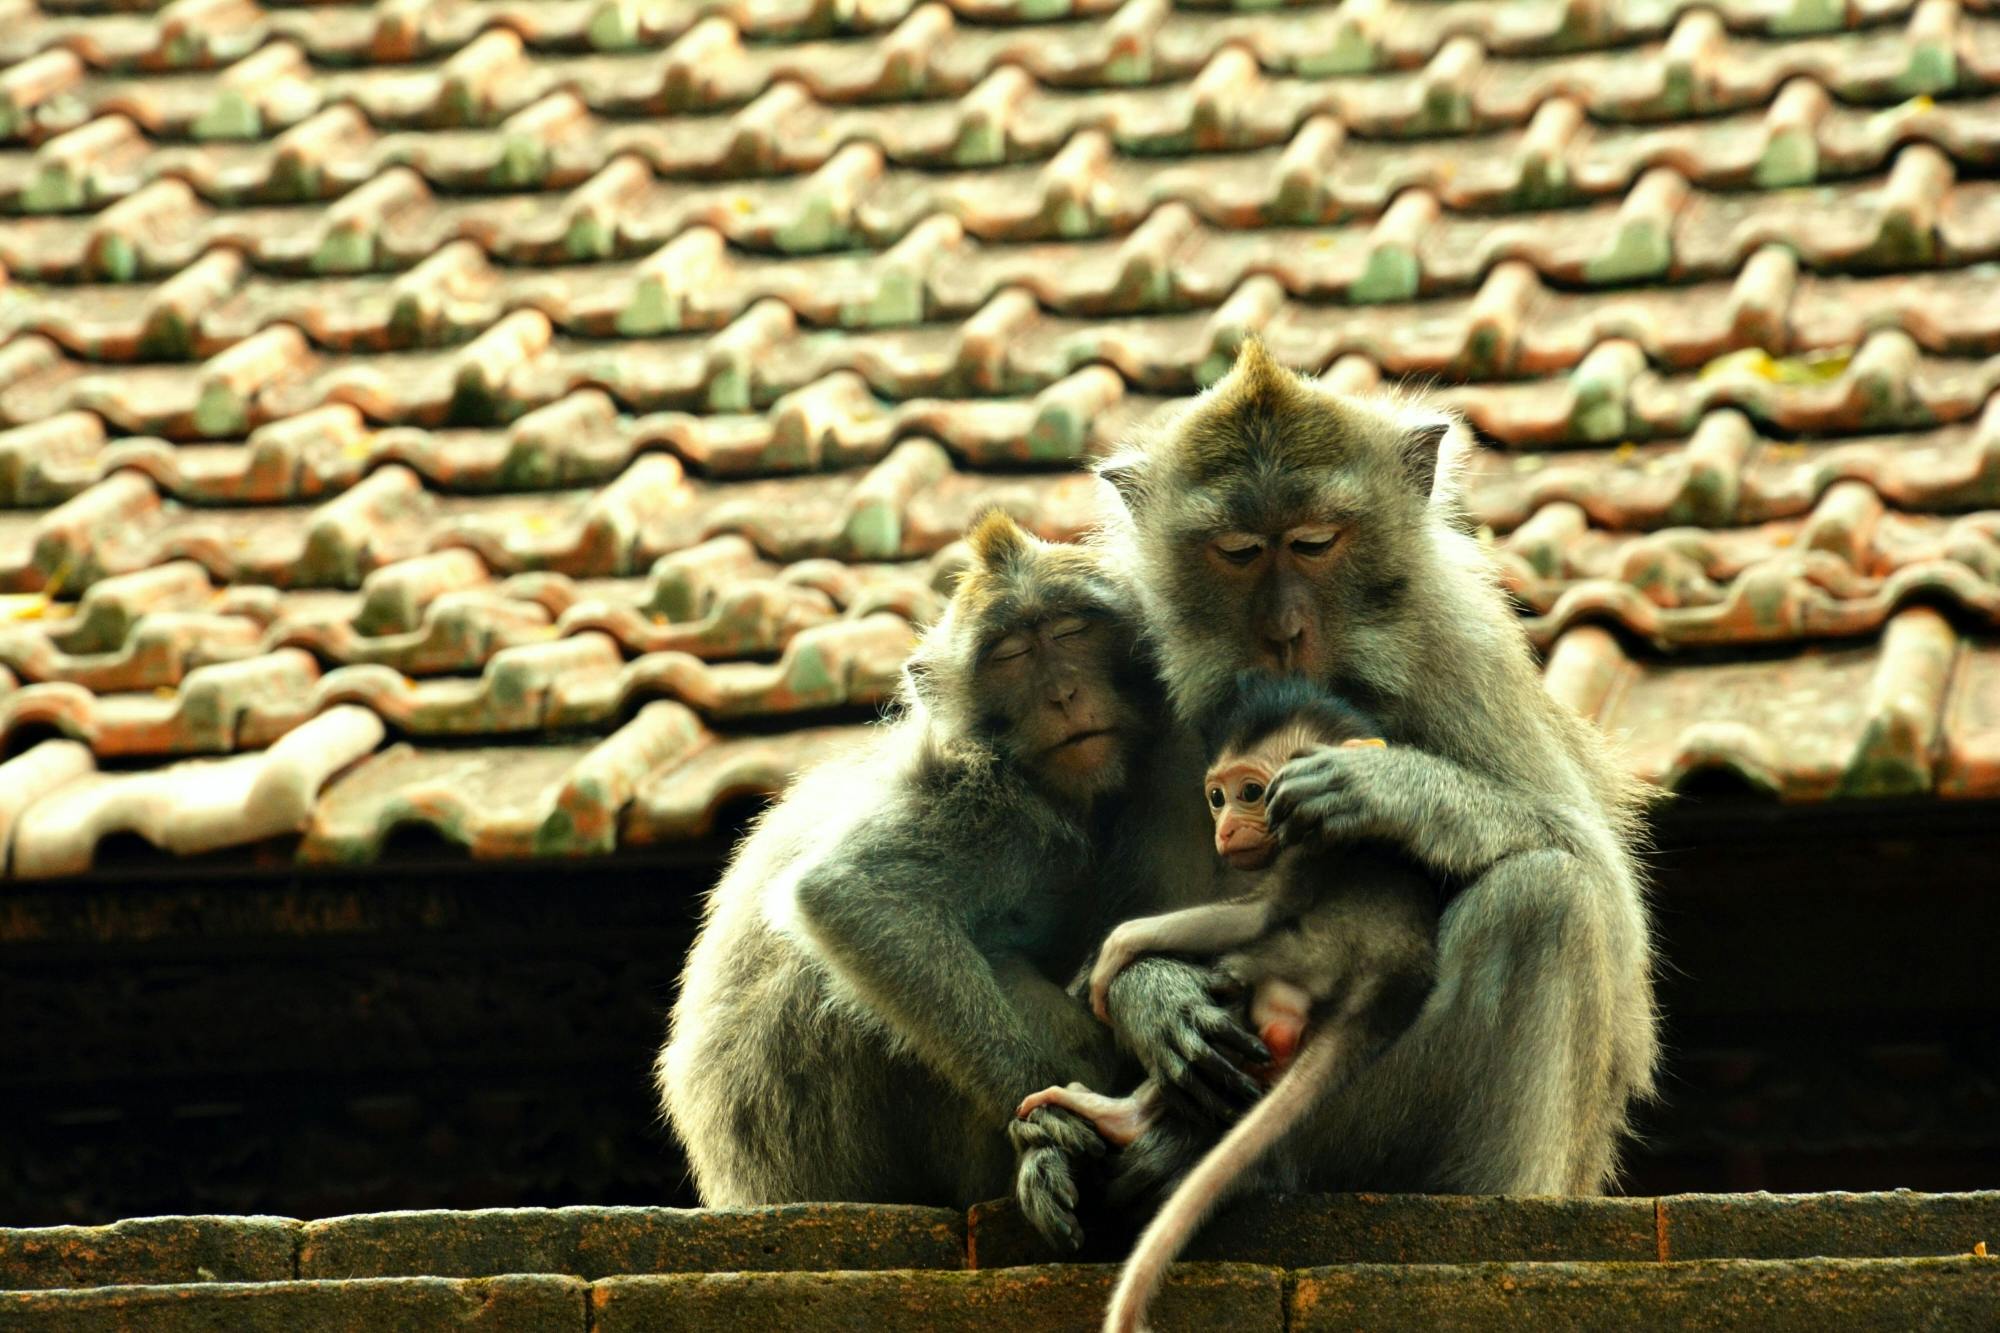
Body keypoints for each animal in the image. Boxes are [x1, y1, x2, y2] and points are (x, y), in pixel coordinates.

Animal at [656, 510, 1216, 1248]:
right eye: (1010, 655)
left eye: (1071, 632)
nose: (1063, 694)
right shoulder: (975, 795)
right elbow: (851, 895)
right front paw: (1046, 1121)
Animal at [1016, 676, 1440, 1328]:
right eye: (1216, 798)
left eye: (1251, 793)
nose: (1225, 829)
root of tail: (1386, 991)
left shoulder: (1310, 839)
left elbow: (1257, 912)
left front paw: (1114, 951)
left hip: (1307, 954)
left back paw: (1118, 1114)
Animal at [1064, 338, 1656, 1216]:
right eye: (1239, 551)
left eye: (1314, 542)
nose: (1284, 631)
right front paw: (1155, 995)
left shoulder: (1459, 648)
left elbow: (1610, 913)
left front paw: (1390, 790)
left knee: (1548, 895)